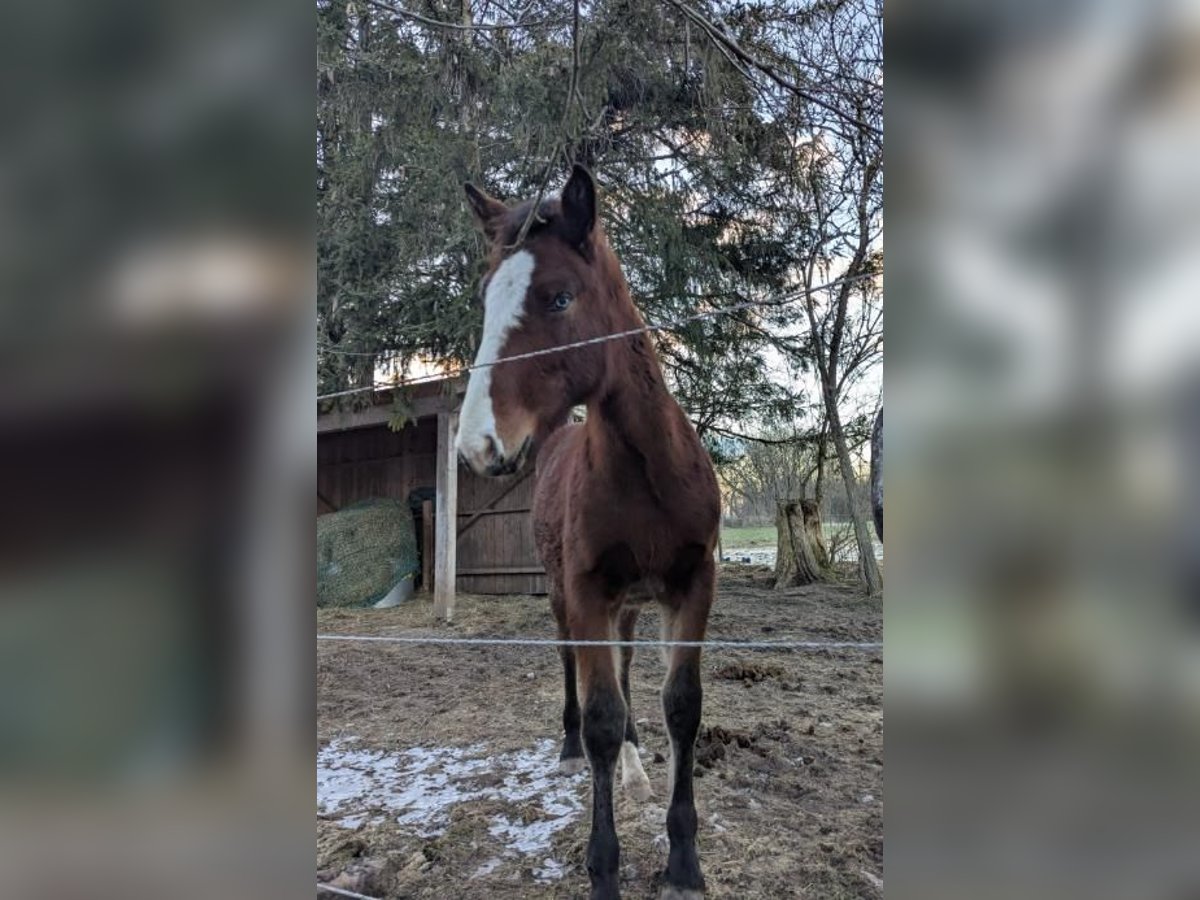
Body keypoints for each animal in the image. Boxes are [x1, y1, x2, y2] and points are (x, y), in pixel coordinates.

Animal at [453, 165, 715, 897]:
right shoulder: (587, 587)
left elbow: (681, 705)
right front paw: (604, 870)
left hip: (632, 602)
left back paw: (635, 757)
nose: (477, 445)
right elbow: (600, 715)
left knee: (624, 667)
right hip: (563, 592)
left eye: (561, 297)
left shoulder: (693, 582)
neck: (650, 473)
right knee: (573, 660)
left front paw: (683, 861)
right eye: (485, 299)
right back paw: (573, 745)